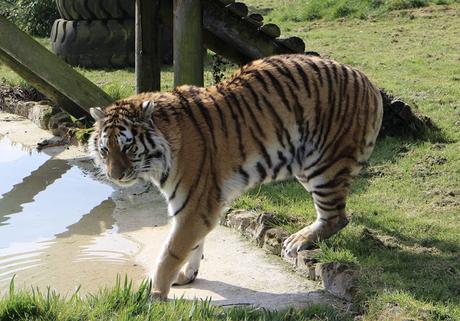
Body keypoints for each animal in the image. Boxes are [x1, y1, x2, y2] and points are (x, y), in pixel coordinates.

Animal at [88, 53, 382, 298]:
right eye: (105, 149)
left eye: (128, 147)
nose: (115, 175)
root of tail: (366, 80)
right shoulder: (198, 208)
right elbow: (193, 247)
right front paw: (186, 275)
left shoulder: (194, 207)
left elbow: (170, 252)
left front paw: (154, 294)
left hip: (323, 164)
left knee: (337, 217)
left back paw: (297, 241)